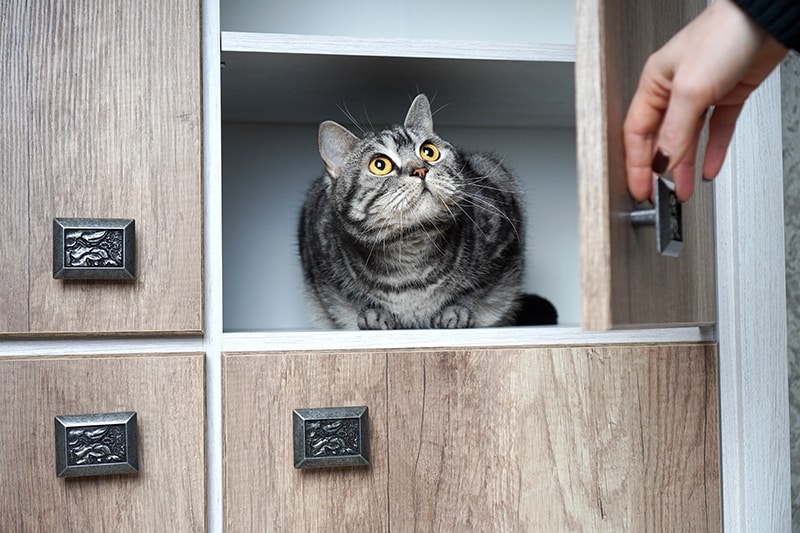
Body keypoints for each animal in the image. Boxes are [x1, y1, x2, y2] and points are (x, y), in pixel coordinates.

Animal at [296, 94, 556, 328]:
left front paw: (457, 310)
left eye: (428, 151)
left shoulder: (504, 240)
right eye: (380, 165)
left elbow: (479, 289)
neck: (411, 251)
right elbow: (350, 297)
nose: (420, 169)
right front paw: (372, 313)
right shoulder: (318, 253)